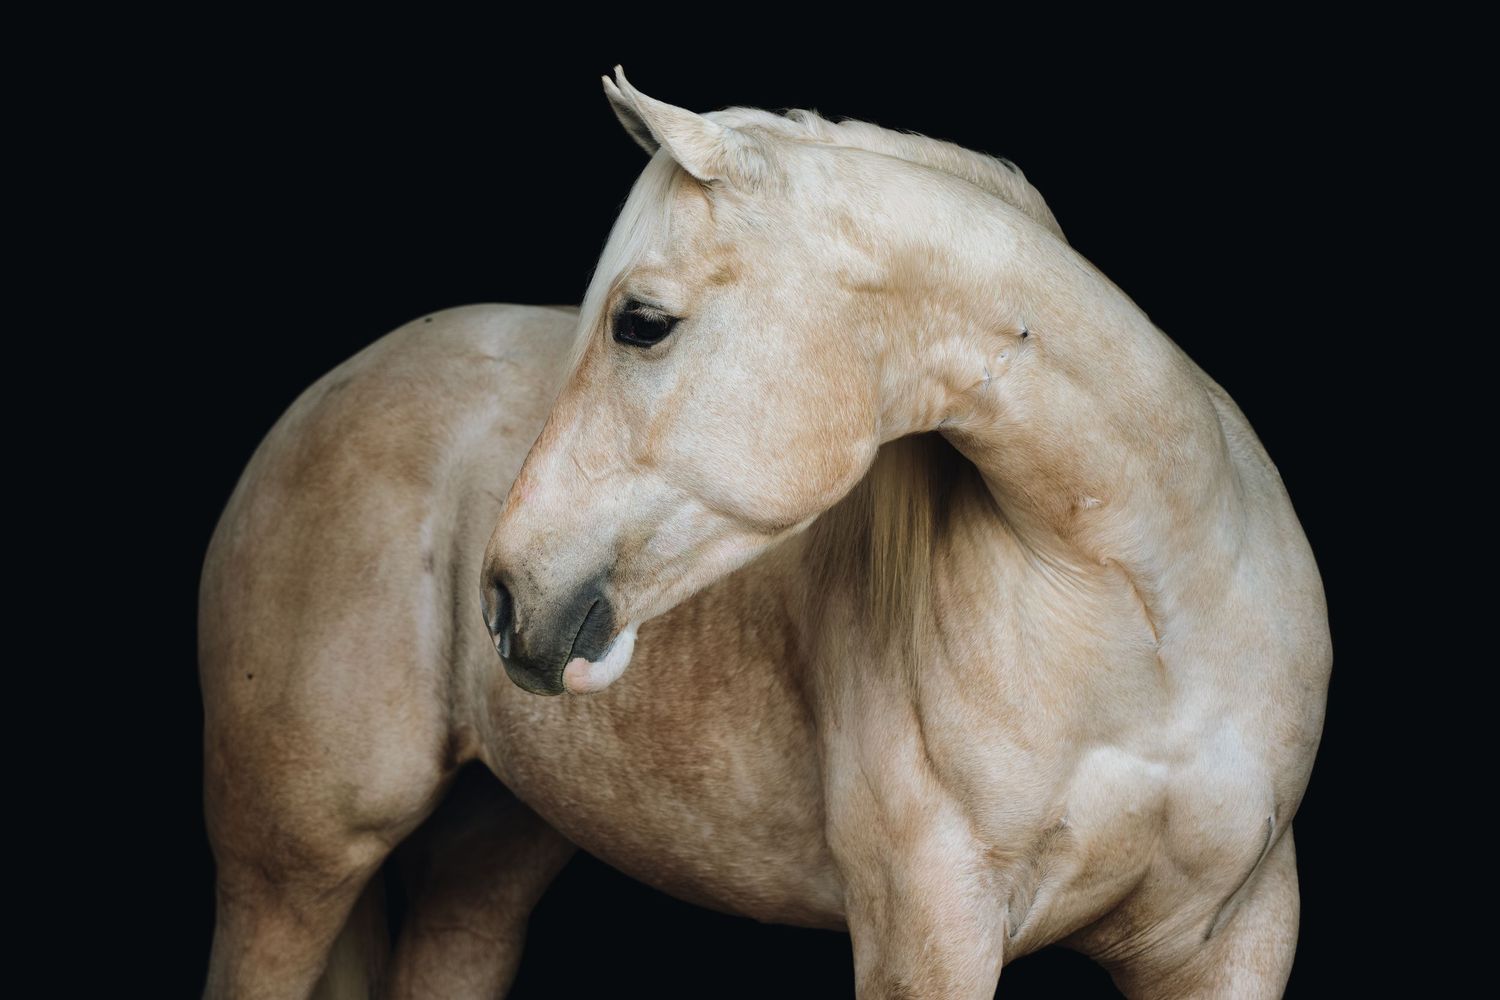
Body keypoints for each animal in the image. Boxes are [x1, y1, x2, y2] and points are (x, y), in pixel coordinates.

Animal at [199, 66, 1332, 998]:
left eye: (641, 323)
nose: (508, 598)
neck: (1149, 612)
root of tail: (323, 398)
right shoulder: (931, 937)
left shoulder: (1237, 936)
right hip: (290, 869)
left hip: (488, 854)